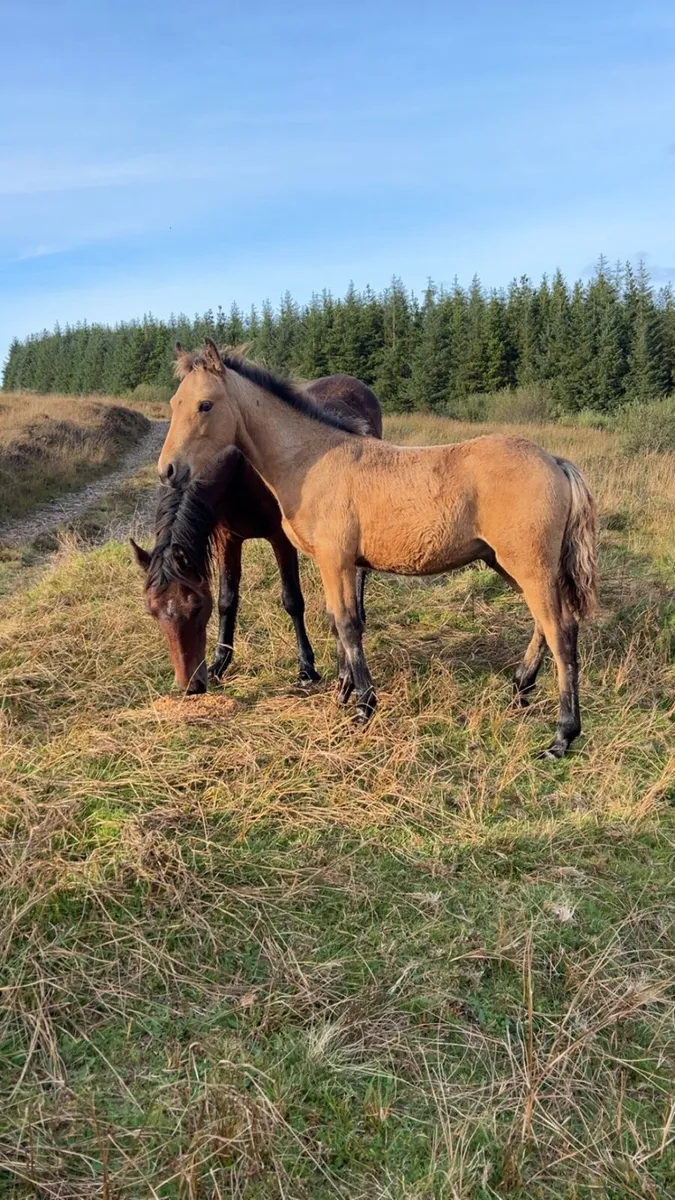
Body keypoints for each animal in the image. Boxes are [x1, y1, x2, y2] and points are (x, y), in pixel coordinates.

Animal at [132, 366, 382, 694]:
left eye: (197, 607)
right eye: (152, 611)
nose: (191, 686)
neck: (242, 470)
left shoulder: (281, 538)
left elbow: (292, 600)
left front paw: (306, 667)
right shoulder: (228, 539)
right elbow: (227, 600)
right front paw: (220, 662)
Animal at [158, 339, 598, 757]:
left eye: (205, 404)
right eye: (174, 403)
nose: (168, 470)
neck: (311, 460)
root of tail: (555, 462)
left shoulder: (335, 559)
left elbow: (347, 624)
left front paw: (363, 706)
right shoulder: (339, 563)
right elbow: (337, 622)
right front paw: (343, 691)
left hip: (529, 564)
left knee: (562, 631)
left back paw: (562, 735)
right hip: (509, 564)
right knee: (546, 624)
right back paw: (520, 688)